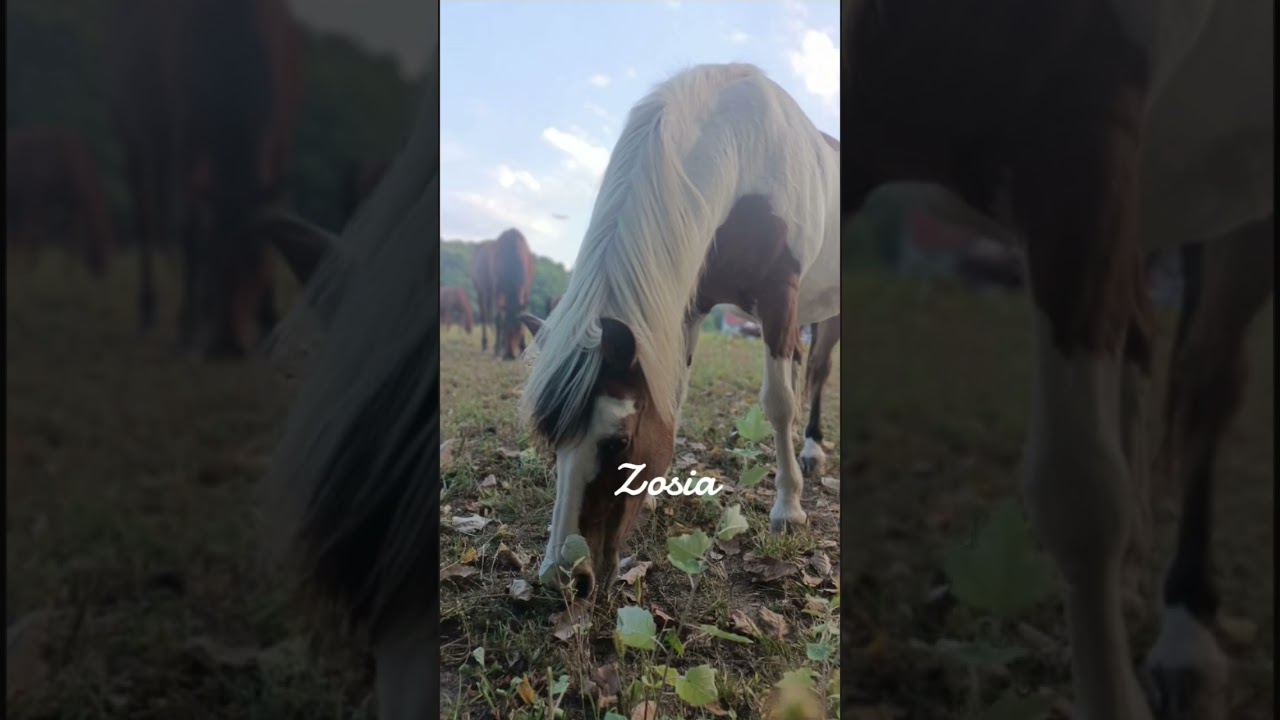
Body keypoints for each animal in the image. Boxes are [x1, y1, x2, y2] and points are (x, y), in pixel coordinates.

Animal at [5, 128, 113, 276]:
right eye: (103, 242)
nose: (105, 271)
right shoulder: (36, 198)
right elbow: (34, 234)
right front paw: (29, 267)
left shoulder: (71, 205)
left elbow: (72, 237)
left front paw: (69, 270)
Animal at [106, 0, 301, 358]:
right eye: (213, 262)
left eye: (259, 262)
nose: (228, 344)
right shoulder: (187, 142)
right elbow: (191, 230)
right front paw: (189, 324)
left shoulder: (281, 139)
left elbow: (274, 218)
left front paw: (269, 319)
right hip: (133, 140)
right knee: (146, 220)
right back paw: (149, 310)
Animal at [516, 63, 840, 598]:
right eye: (551, 441)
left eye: (617, 443)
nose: (565, 578)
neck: (749, 151)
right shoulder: (691, 303)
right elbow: (676, 392)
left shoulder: (780, 294)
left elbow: (778, 404)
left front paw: (788, 508)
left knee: (814, 373)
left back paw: (811, 449)